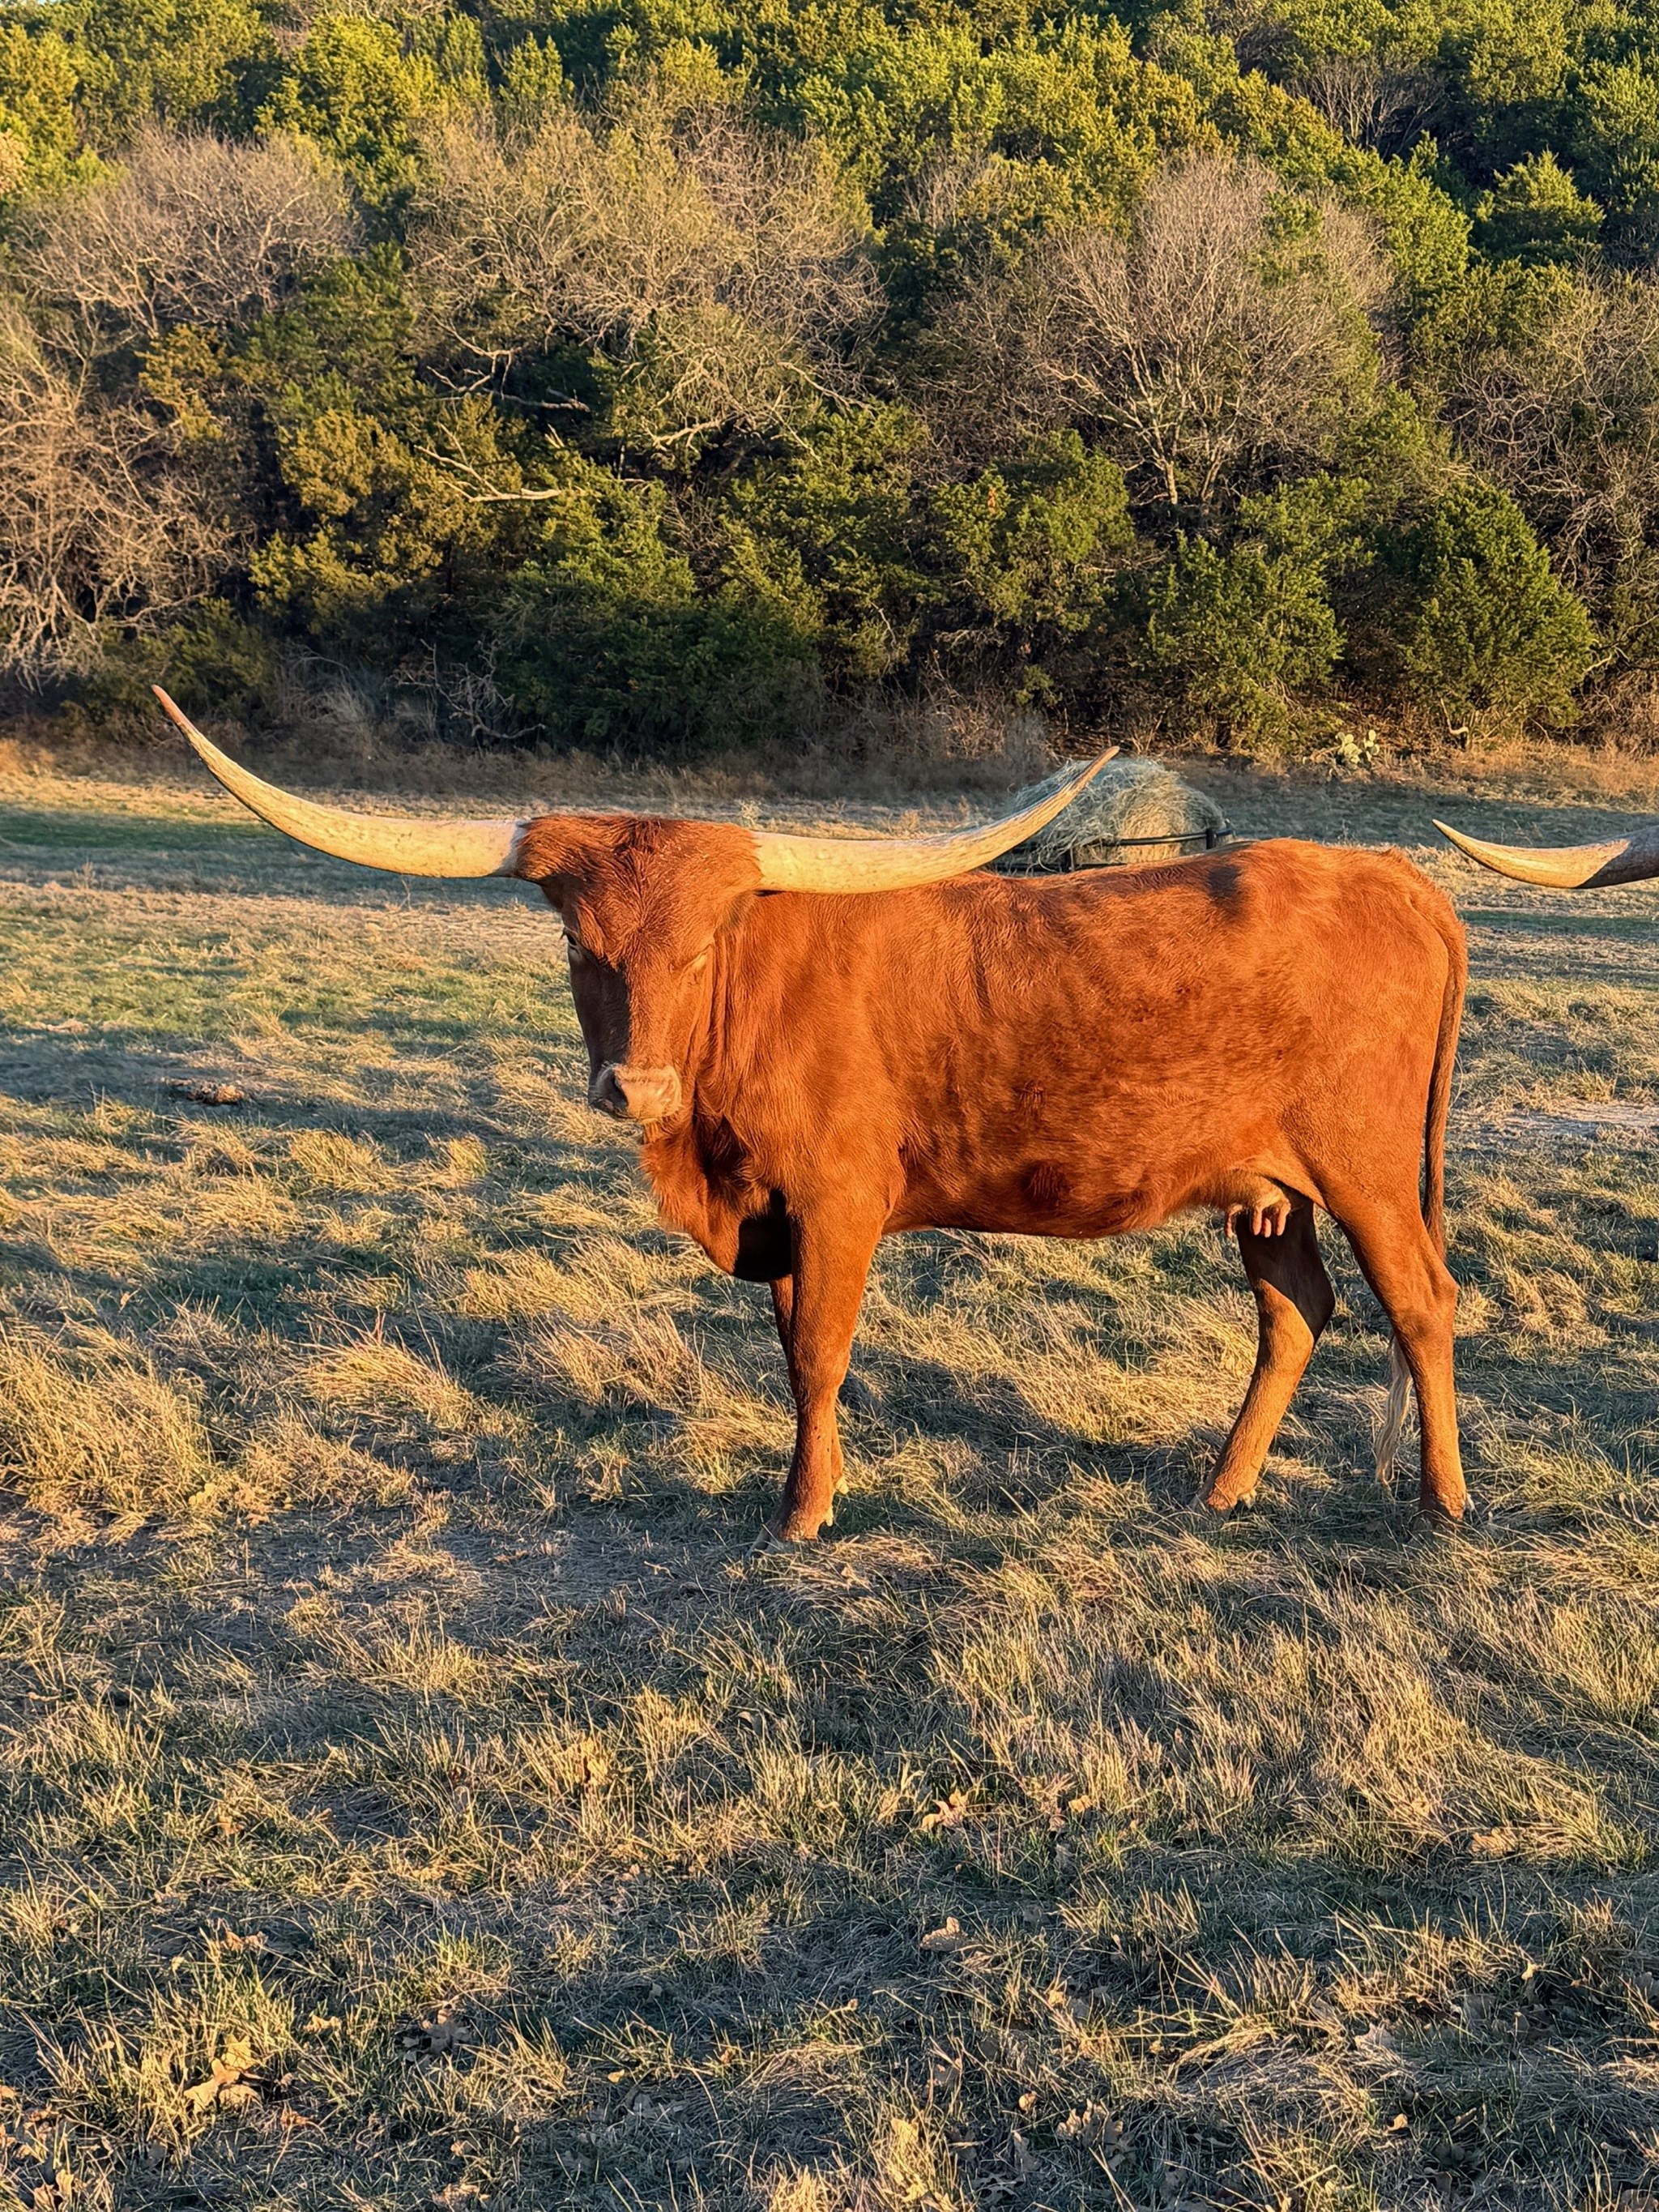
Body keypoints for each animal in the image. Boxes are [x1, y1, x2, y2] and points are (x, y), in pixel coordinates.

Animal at [155, 686, 1469, 1536]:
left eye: (701, 948)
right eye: (580, 945)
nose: (634, 1087)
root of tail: (1393, 876)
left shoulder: (838, 1198)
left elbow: (821, 1352)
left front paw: (801, 1517)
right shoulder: (775, 1213)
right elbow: (791, 1354)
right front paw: (809, 1491)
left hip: (1364, 1167)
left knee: (1420, 1300)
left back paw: (1442, 1503)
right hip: (1268, 1188)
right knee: (1296, 1311)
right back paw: (1221, 1489)